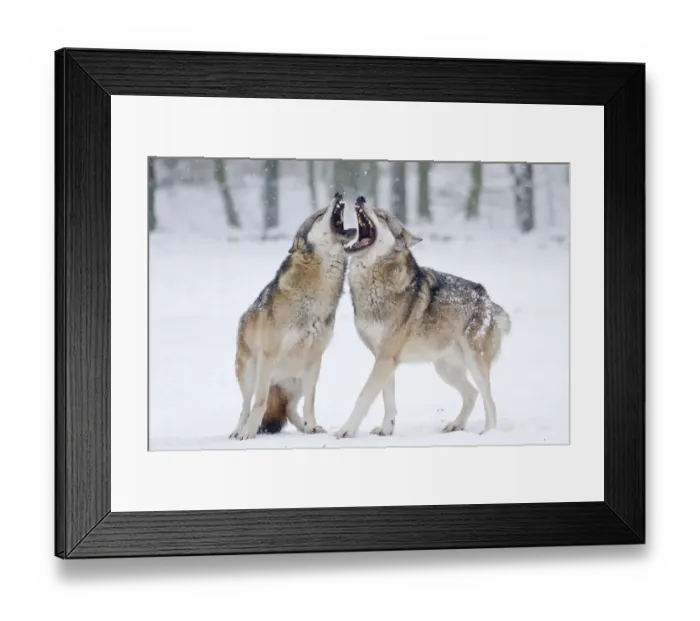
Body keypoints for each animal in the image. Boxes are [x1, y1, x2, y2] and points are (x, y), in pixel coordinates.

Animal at [230, 193, 357, 441]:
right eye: (319, 214)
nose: (338, 193)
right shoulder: (267, 357)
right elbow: (259, 403)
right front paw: (249, 432)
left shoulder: (314, 360)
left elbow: (310, 403)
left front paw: (313, 426)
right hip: (250, 373)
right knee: (246, 406)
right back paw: (239, 431)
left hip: (296, 381)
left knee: (289, 409)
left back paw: (306, 427)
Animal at [335, 196, 511, 439]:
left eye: (383, 216)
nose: (361, 198)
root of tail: (488, 301)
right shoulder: (384, 358)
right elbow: (388, 399)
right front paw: (386, 429)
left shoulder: (386, 358)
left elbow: (364, 396)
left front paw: (346, 430)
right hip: (444, 369)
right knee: (472, 394)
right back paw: (456, 425)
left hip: (475, 364)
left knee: (489, 401)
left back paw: (488, 434)